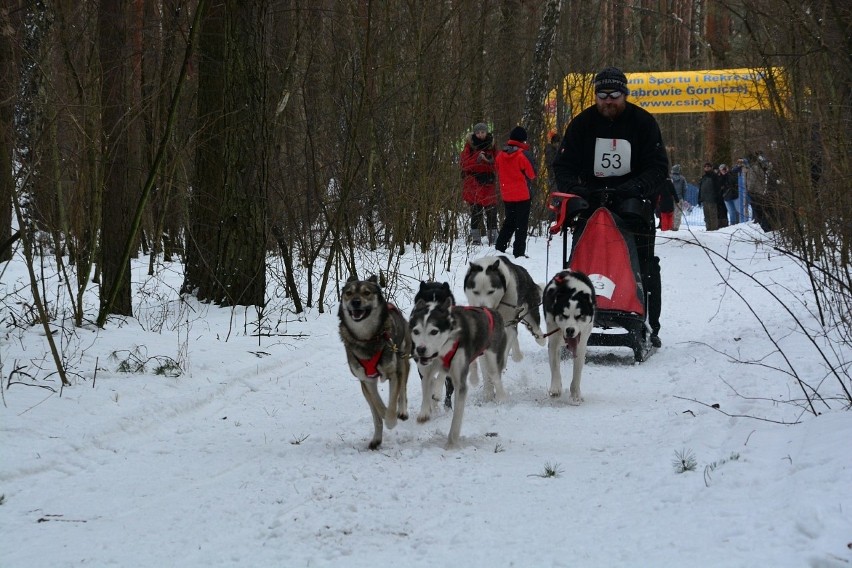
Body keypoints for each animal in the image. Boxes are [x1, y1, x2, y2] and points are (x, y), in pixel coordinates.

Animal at [338, 276, 412, 448]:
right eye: (348, 293)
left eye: (367, 292)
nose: (355, 302)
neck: (367, 339)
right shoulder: (366, 381)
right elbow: (377, 408)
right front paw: (380, 430)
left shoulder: (393, 373)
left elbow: (392, 402)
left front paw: (391, 420)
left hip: (402, 361)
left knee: (402, 390)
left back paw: (402, 411)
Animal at [408, 298, 506, 448]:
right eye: (416, 331)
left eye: (434, 331)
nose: (420, 349)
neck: (442, 352)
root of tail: (492, 311)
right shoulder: (427, 370)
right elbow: (427, 386)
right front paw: (424, 412)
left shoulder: (460, 379)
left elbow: (456, 418)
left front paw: (451, 444)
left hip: (492, 357)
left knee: (495, 376)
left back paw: (501, 398)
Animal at [544, 270, 596, 404]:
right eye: (564, 315)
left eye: (579, 316)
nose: (570, 330)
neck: (572, 290)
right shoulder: (553, 340)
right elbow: (555, 366)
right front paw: (556, 387)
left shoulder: (581, 344)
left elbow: (577, 372)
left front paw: (575, 394)